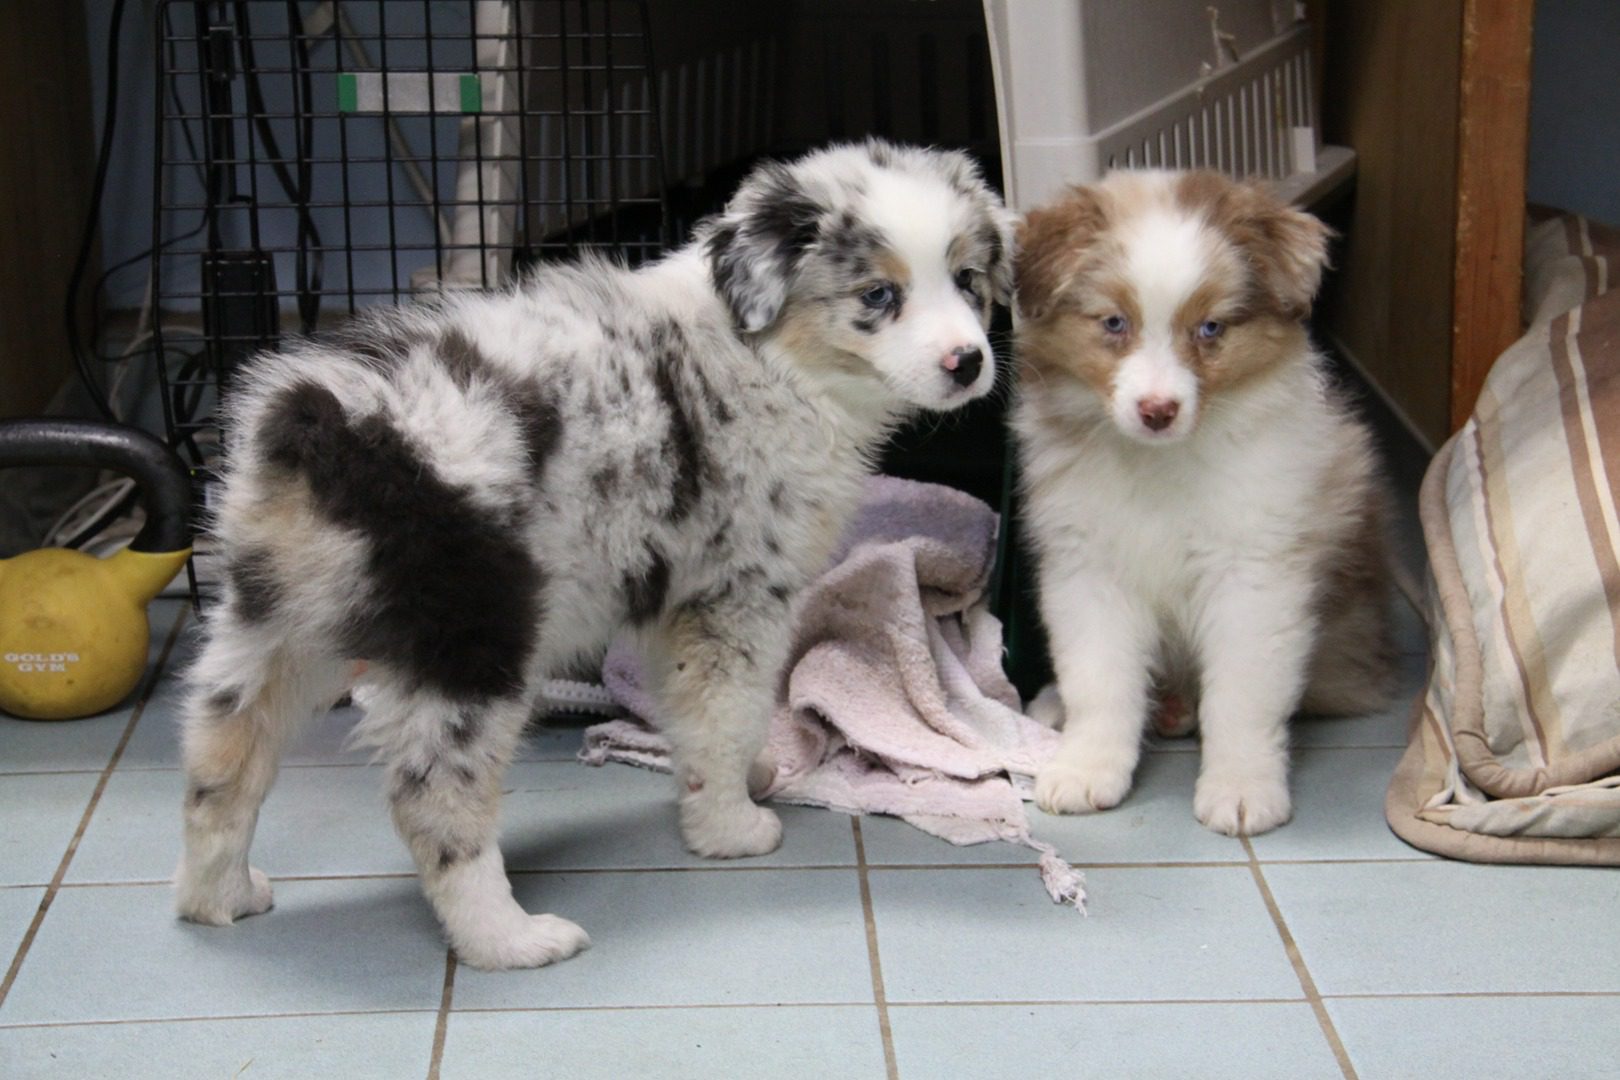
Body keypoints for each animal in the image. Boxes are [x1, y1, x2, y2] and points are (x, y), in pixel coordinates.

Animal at [177, 139, 1010, 965]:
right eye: (878, 295)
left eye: (968, 281)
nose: (968, 362)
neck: (771, 355)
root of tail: (321, 421)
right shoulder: (734, 596)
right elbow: (730, 713)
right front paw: (732, 828)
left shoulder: (681, 609)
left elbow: (697, 716)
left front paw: (741, 782)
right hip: (470, 643)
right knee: (434, 799)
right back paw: (508, 938)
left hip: (267, 629)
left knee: (221, 766)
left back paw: (219, 898)